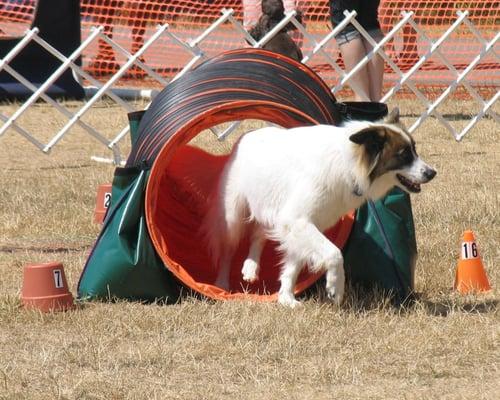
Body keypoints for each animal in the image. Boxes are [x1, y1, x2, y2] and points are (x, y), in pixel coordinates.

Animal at [202, 108, 434, 306]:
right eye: (403, 155)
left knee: (258, 235)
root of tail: (246, 137)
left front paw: (286, 298)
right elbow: (334, 254)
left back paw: (251, 267)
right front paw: (335, 287)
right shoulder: (298, 220)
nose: (432, 173)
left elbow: (293, 265)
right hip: (233, 216)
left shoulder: (299, 224)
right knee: (228, 248)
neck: (349, 162)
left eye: (414, 150)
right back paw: (222, 284)